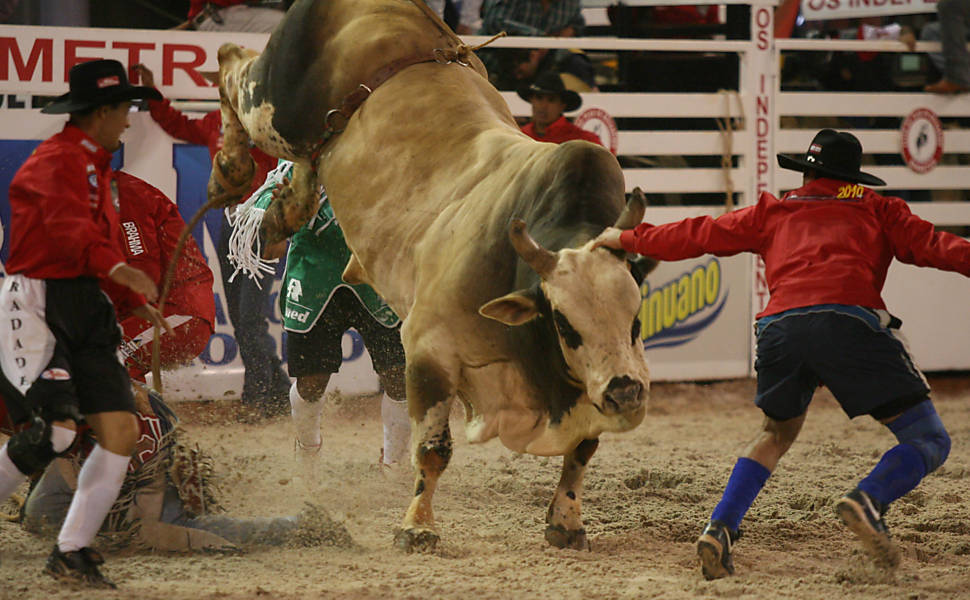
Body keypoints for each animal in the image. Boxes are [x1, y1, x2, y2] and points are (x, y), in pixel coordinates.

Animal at [207, 0, 656, 552]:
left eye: (635, 320)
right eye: (564, 323)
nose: (627, 393)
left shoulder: (587, 385)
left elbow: (581, 451)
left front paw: (566, 523)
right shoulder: (427, 352)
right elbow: (434, 450)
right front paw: (416, 526)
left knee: (307, 164)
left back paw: (286, 210)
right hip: (275, 104)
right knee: (231, 63)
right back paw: (230, 169)